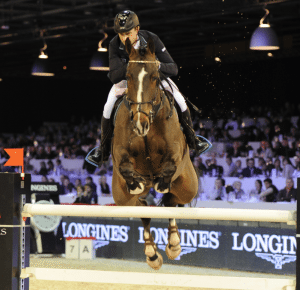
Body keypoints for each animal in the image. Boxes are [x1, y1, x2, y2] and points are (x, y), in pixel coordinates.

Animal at [111, 37, 198, 270]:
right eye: (128, 76)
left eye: (154, 77)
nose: (140, 123)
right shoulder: (120, 153)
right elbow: (125, 167)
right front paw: (137, 183)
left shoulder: (175, 153)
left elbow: (168, 168)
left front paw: (160, 182)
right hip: (121, 198)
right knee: (143, 208)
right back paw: (152, 255)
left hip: (188, 186)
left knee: (170, 202)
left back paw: (174, 246)